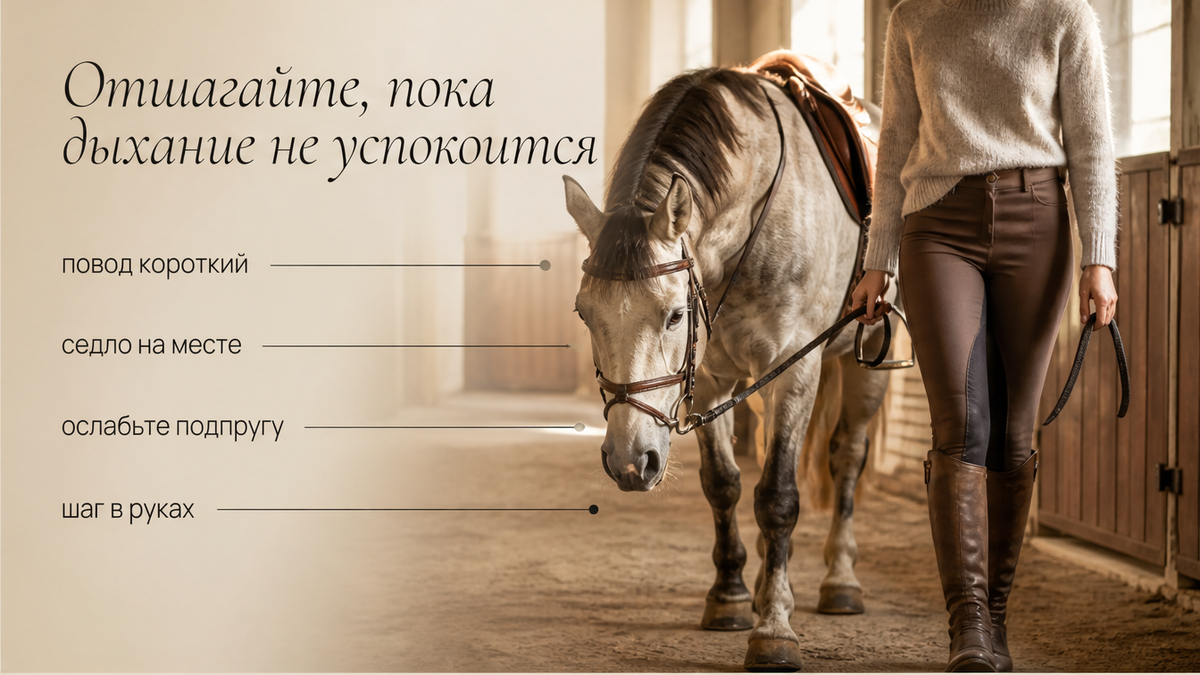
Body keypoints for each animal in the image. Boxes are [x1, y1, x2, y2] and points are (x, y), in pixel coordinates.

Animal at [563, 65, 895, 671]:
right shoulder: (709, 381)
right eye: (583, 313)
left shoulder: (795, 370)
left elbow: (778, 496)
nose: (629, 460)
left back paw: (839, 581)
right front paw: (732, 596)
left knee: (846, 458)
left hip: (871, 355)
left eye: (675, 314)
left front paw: (773, 629)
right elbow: (724, 485)